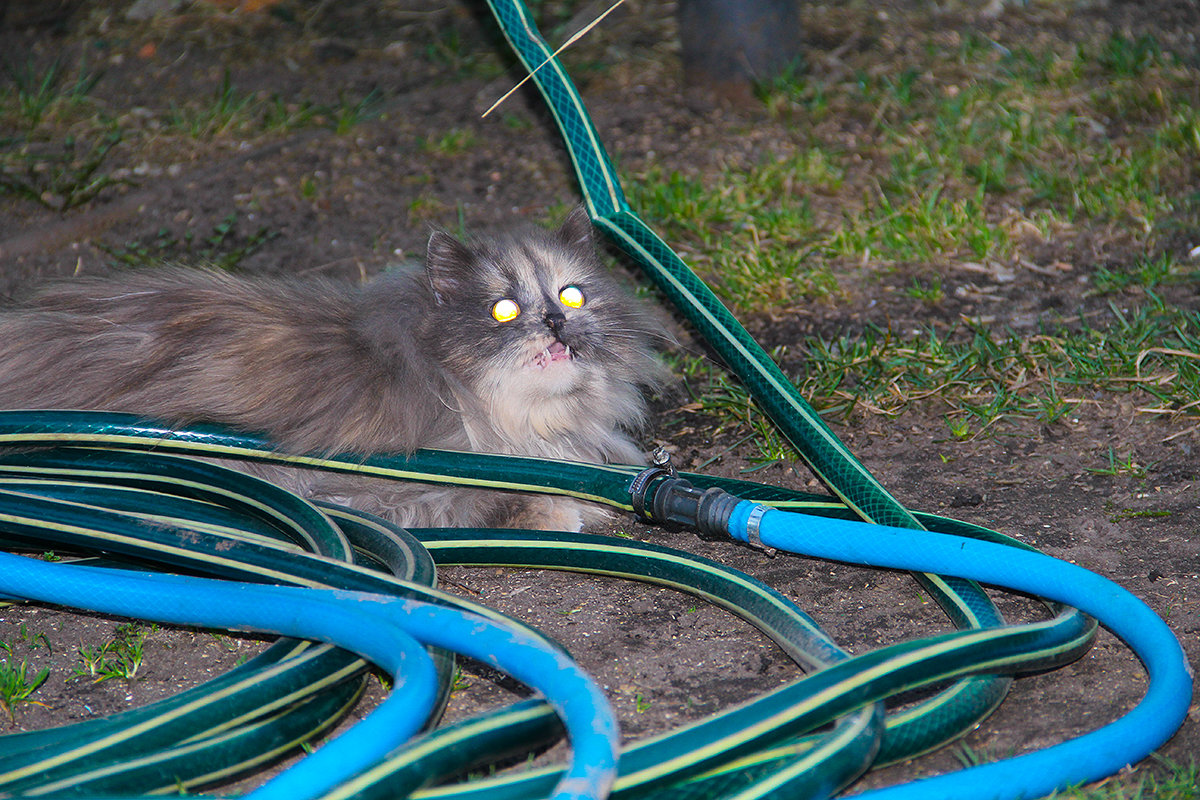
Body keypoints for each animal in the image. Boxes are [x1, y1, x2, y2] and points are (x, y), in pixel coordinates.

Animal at [0, 206, 667, 532]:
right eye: (503, 310)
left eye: (572, 296)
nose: (554, 322)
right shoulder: (375, 486)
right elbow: (499, 504)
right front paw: (566, 509)